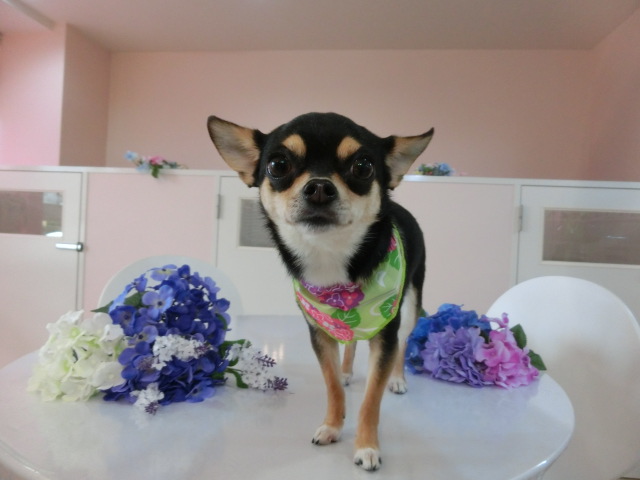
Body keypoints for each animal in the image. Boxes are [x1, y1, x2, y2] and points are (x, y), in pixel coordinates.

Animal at [207, 112, 433, 471]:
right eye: (278, 165)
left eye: (363, 167)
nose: (319, 187)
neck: (331, 262)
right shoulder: (320, 331)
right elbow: (332, 385)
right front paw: (332, 425)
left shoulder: (386, 332)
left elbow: (371, 399)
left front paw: (367, 446)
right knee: (351, 344)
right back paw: (347, 371)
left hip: (410, 306)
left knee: (403, 343)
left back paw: (398, 379)